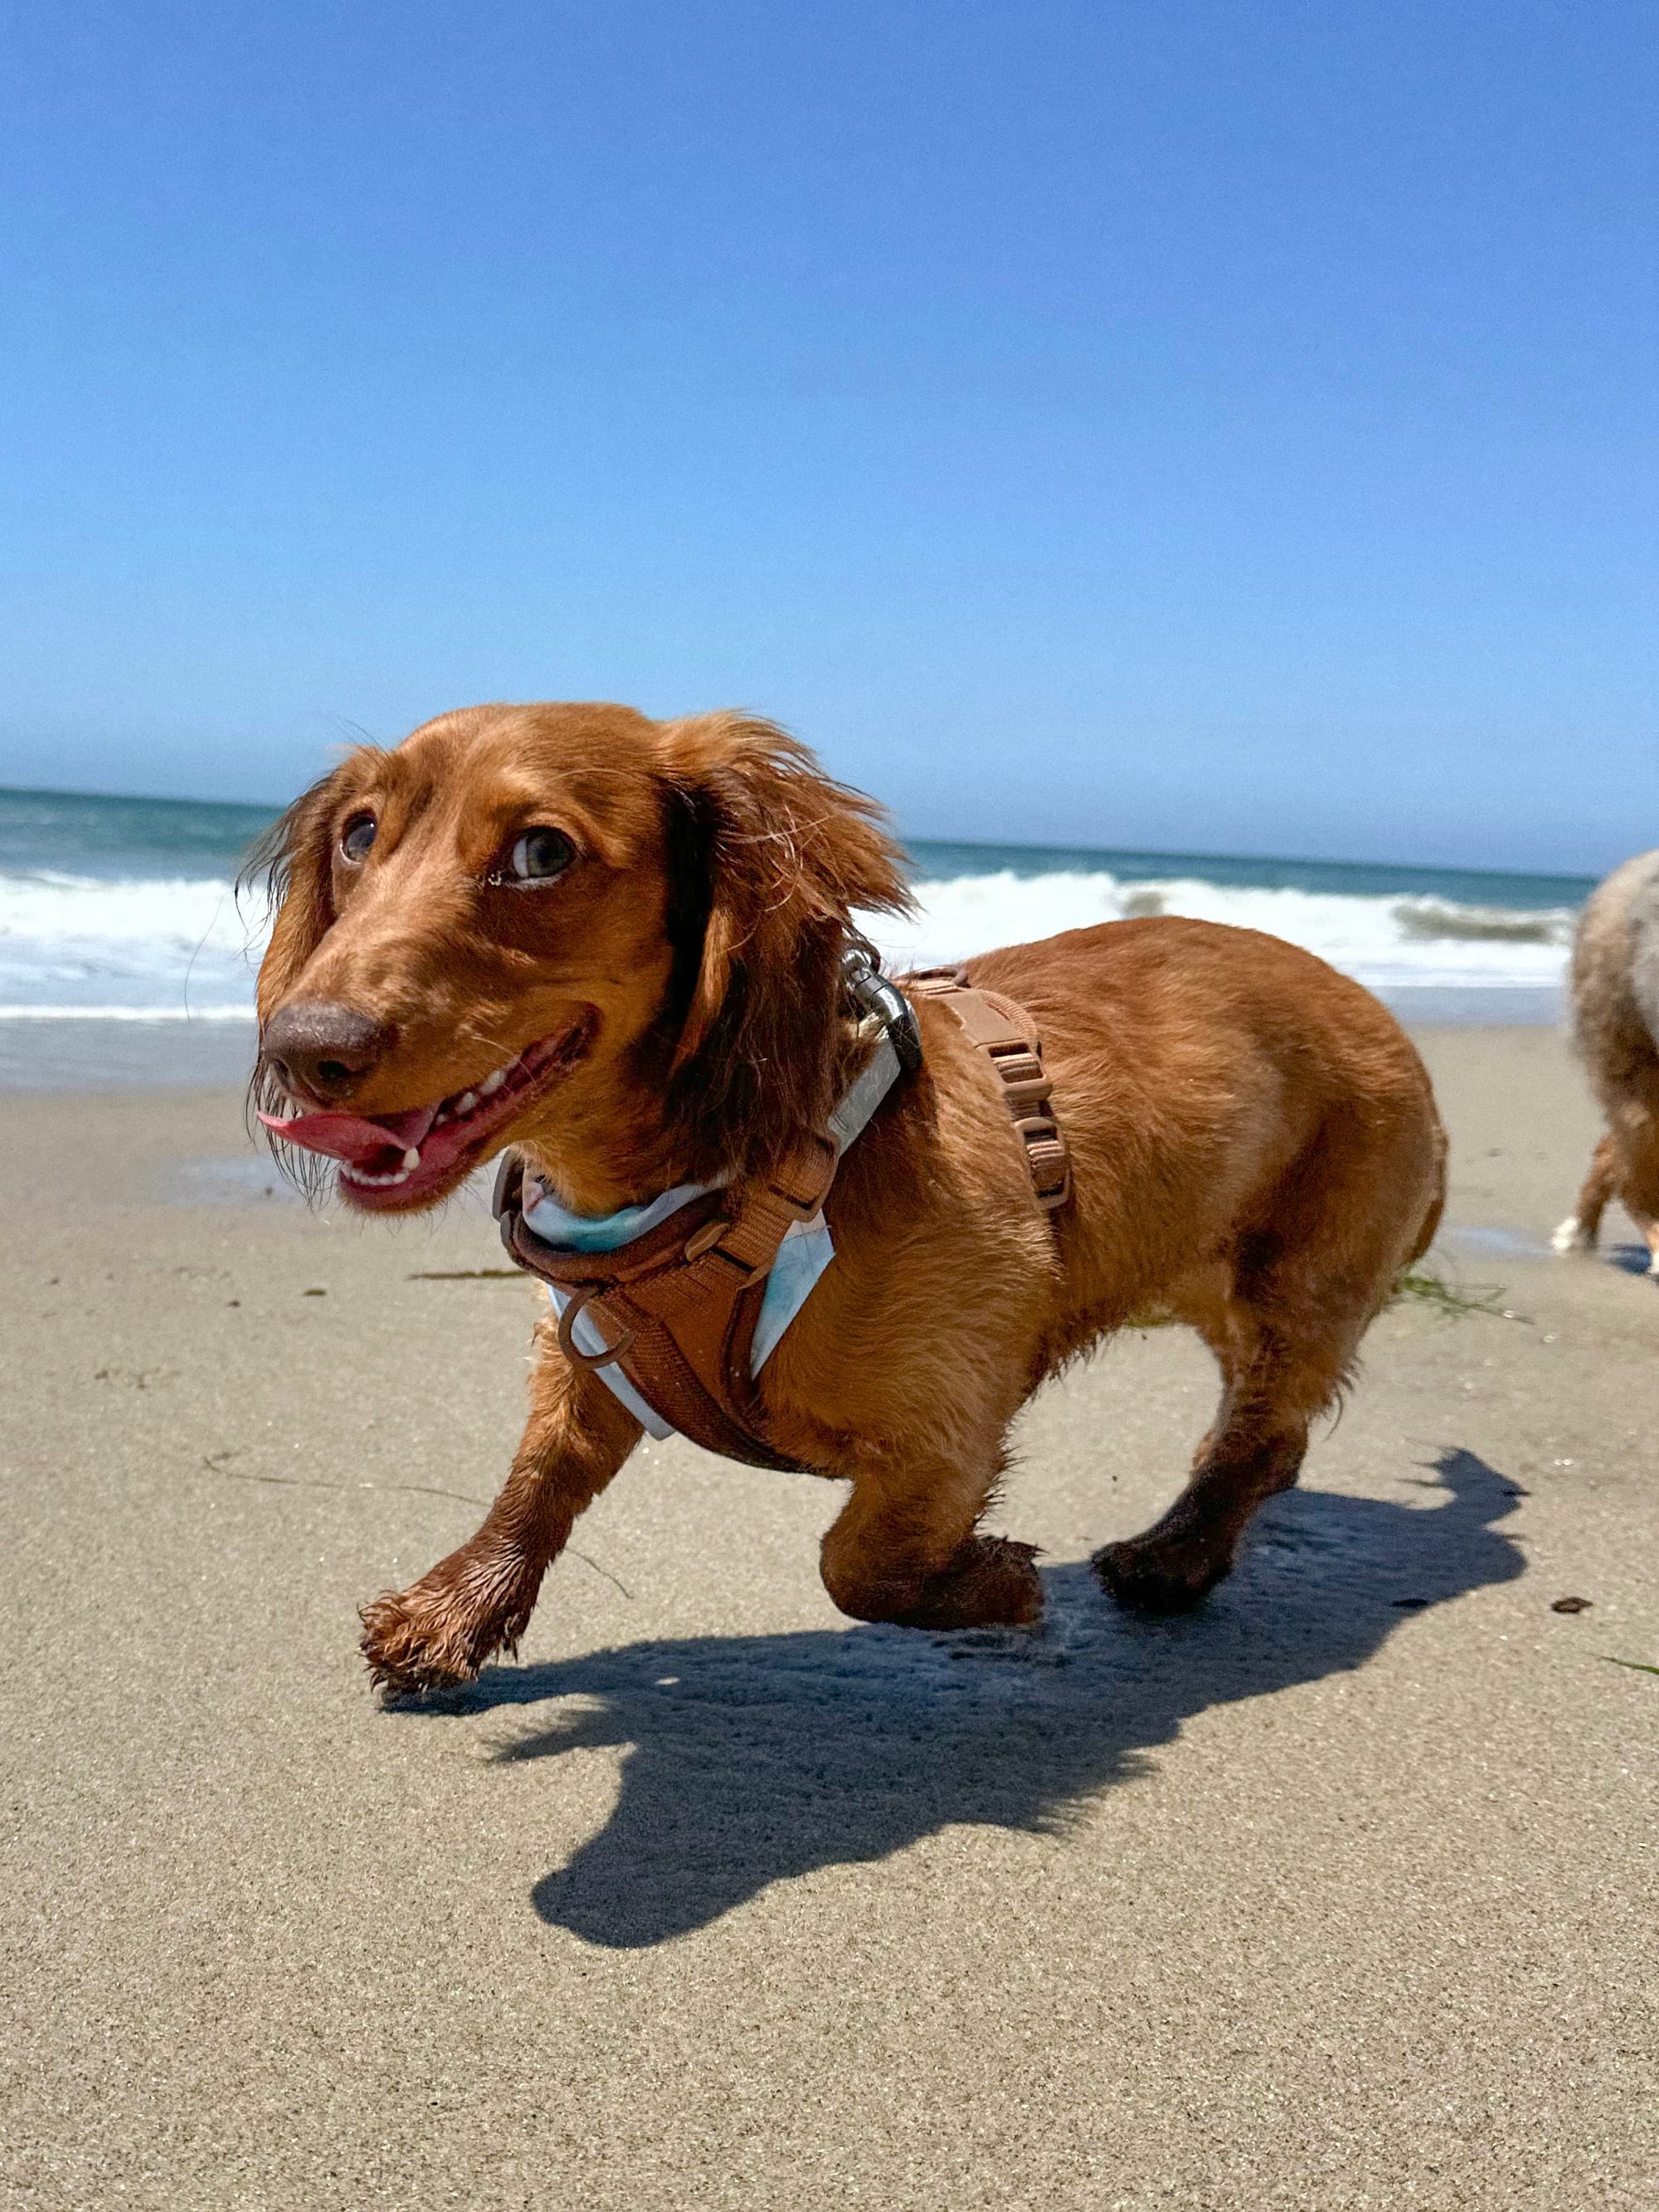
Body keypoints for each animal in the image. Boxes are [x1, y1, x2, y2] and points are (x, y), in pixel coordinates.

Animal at [253, 707, 1451, 1689]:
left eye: (541, 851)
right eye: (359, 833)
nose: (300, 1049)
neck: (723, 1181)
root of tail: (1380, 1018)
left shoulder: (950, 1423)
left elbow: (856, 1564)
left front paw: (995, 1583)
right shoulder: (585, 1363)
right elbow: (534, 1484)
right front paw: (454, 1610)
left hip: (1301, 1283)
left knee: (1258, 1433)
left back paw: (1177, 1554)